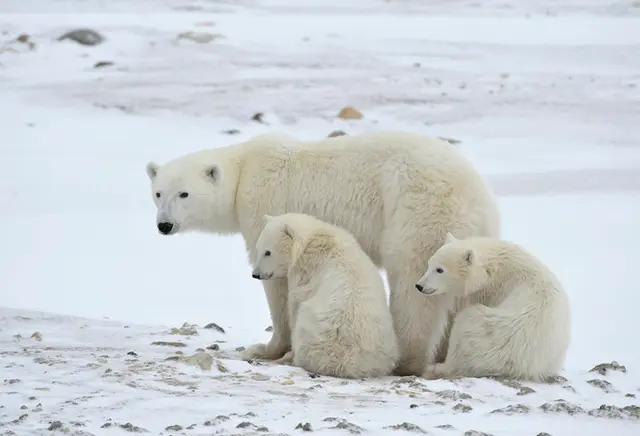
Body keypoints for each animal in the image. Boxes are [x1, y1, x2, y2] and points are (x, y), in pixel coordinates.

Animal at [145, 129, 500, 374]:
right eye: (158, 193)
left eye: (184, 193)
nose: (164, 225)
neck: (243, 171)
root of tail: (475, 194)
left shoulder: (265, 207)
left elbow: (278, 284)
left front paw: (266, 348)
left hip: (418, 211)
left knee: (414, 283)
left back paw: (407, 358)